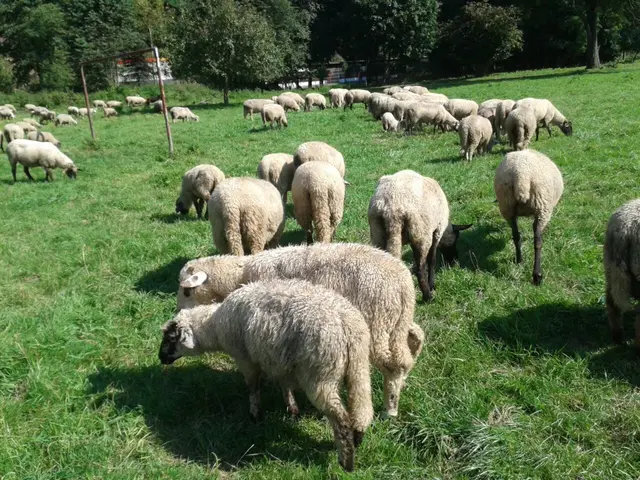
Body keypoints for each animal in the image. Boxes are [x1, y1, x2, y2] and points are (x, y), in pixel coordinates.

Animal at [160, 279, 373, 471]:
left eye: (171, 339)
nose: (160, 358)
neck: (214, 326)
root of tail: (347, 326)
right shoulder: (278, 361)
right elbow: (284, 385)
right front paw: (292, 409)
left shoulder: (245, 358)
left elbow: (253, 386)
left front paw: (255, 415)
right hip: (359, 368)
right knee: (362, 408)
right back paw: (357, 439)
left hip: (320, 375)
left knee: (341, 418)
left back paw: (346, 461)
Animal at [175, 242, 424, 418]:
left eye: (187, 291)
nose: (176, 311)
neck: (240, 275)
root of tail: (404, 284)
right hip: (397, 324)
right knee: (415, 340)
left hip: (378, 324)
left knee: (394, 365)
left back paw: (390, 408)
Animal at [368, 170, 472, 301]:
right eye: (457, 238)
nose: (454, 262)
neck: (446, 228)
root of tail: (391, 208)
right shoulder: (436, 232)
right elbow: (432, 259)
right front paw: (432, 284)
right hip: (422, 234)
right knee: (420, 269)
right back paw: (428, 297)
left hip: (378, 234)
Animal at [494, 149, 563, 286]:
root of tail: (521, 175)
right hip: (542, 208)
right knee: (537, 241)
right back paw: (537, 275)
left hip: (507, 206)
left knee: (516, 236)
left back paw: (519, 260)